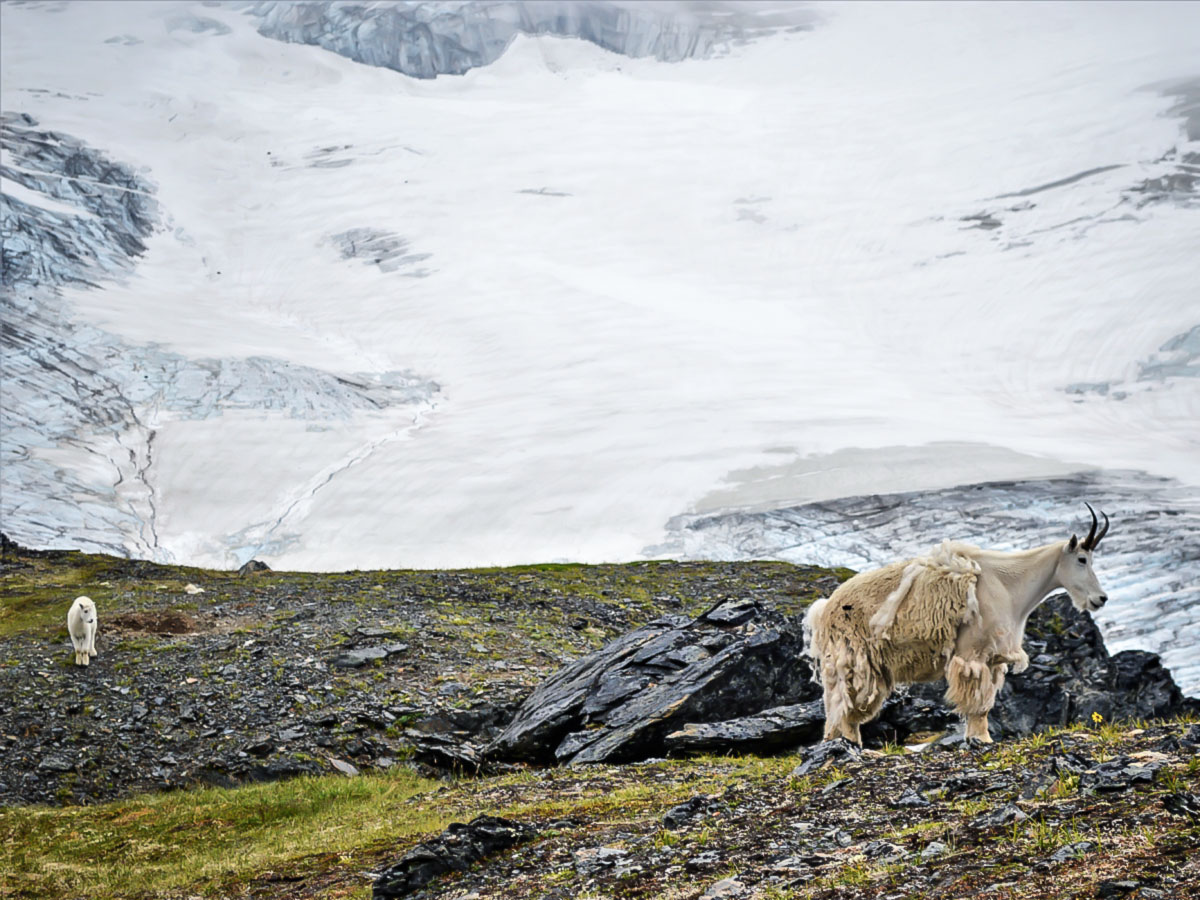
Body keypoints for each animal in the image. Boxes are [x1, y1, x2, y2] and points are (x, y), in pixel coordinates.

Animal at [801, 504, 1108, 744]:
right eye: (1082, 559)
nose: (1100, 599)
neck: (1008, 585)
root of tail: (824, 609)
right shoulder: (973, 653)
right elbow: (977, 704)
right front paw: (980, 739)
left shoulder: (993, 659)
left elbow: (985, 703)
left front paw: (982, 738)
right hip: (851, 660)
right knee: (840, 705)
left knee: (843, 709)